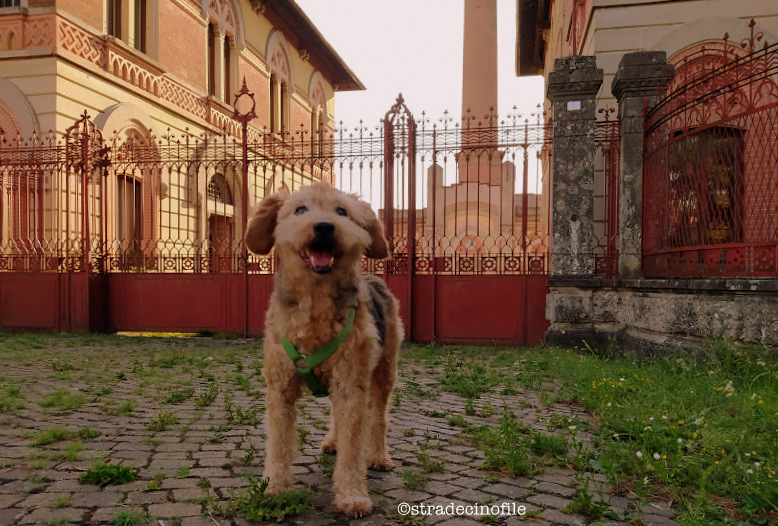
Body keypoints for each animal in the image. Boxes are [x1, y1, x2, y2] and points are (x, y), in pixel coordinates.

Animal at [242, 183, 400, 520]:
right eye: (300, 209)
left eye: (342, 211)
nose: (325, 227)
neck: (315, 303)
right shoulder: (280, 389)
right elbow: (279, 444)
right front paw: (273, 487)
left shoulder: (350, 385)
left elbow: (353, 448)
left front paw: (352, 496)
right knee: (338, 418)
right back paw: (332, 441)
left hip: (384, 371)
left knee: (378, 417)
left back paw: (379, 456)